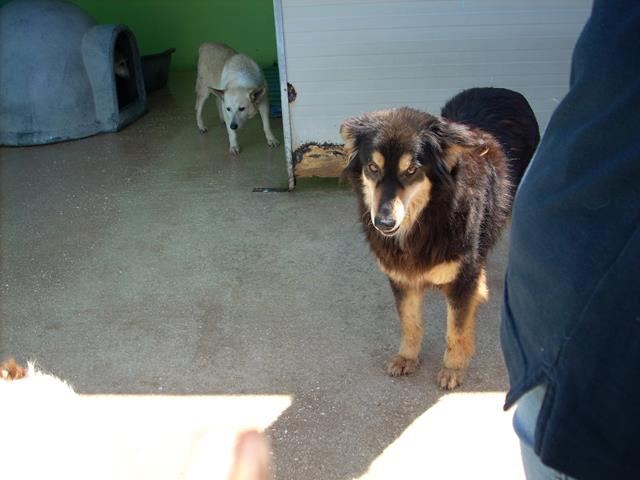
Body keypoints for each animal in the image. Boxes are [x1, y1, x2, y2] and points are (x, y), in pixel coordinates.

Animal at [340, 87, 539, 389]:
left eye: (411, 170)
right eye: (372, 167)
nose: (384, 223)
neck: (427, 217)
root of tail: (505, 90)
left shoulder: (461, 278)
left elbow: (455, 329)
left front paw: (453, 367)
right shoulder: (402, 276)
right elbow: (410, 322)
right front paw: (407, 357)